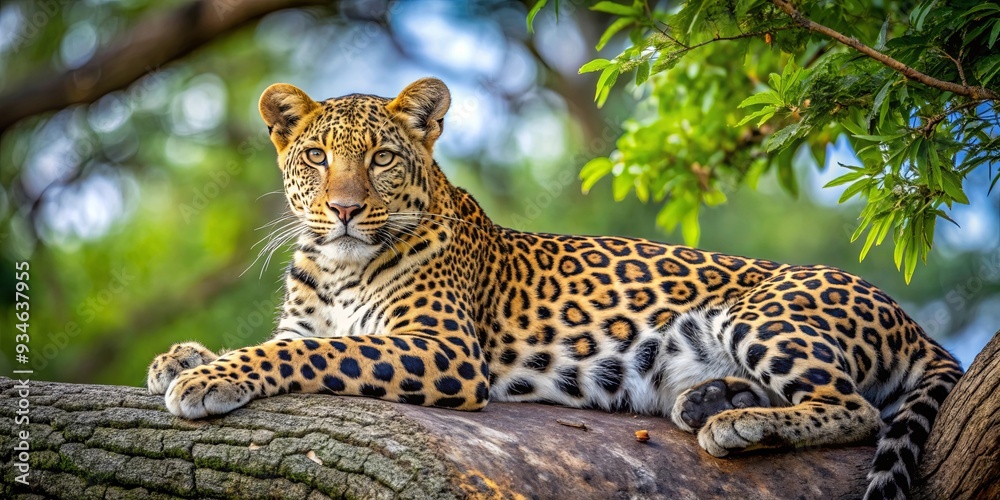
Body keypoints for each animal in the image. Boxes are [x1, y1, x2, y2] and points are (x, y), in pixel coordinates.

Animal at [147, 77, 963, 500]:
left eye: (381, 158)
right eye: (316, 157)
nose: (344, 209)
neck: (341, 264)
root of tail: (914, 324)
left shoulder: (442, 349)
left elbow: (307, 356)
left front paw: (205, 379)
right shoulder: (306, 323)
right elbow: (283, 343)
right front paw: (178, 357)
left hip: (763, 311)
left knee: (854, 407)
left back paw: (736, 425)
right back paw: (713, 401)